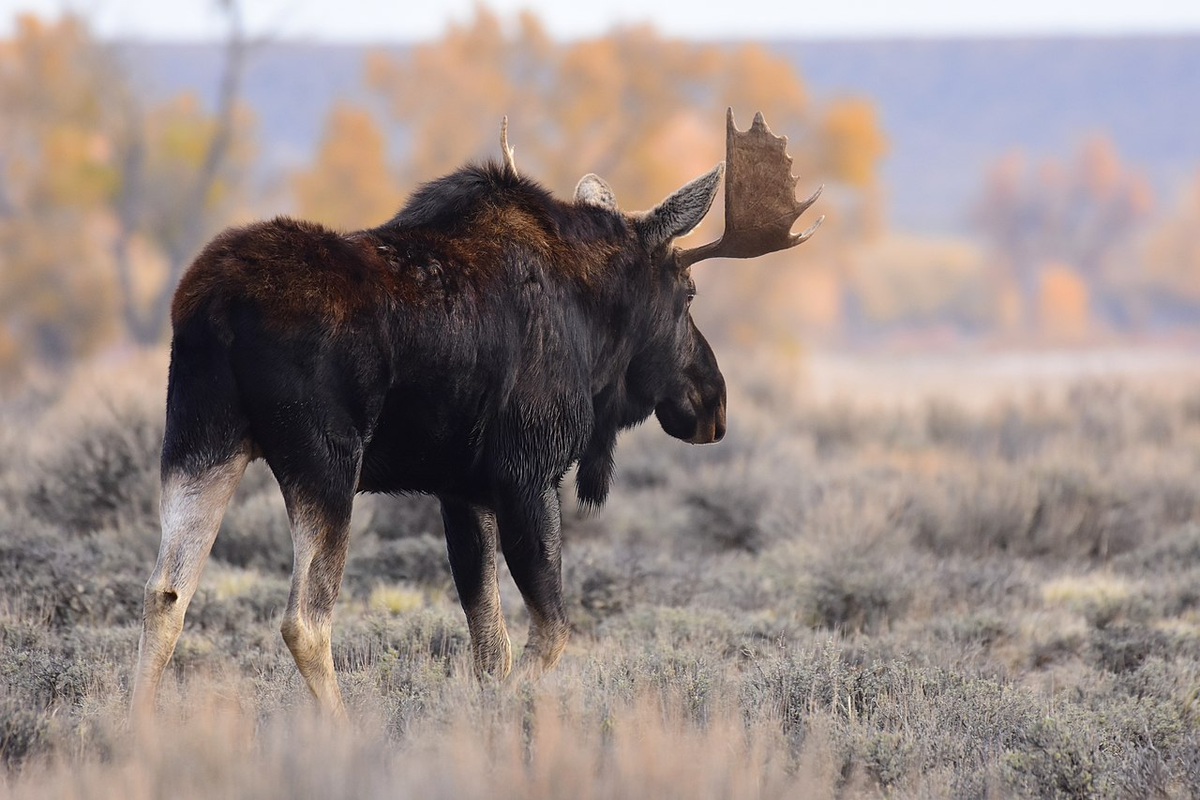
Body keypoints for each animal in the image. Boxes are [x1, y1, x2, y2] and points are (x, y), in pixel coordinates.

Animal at [133, 107, 825, 719]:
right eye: (687, 295)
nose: (714, 403)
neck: (595, 328)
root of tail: (212, 306)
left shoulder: (461, 488)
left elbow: (491, 646)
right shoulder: (526, 472)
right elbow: (549, 634)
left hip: (200, 441)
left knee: (166, 592)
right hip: (324, 460)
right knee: (304, 617)